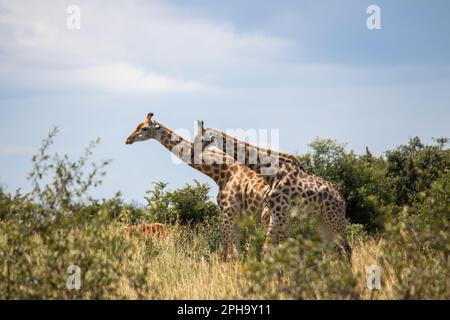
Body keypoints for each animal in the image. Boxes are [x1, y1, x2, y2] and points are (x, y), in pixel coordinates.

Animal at [124, 114, 270, 262]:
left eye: (144, 128)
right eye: (137, 125)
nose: (128, 139)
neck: (222, 172)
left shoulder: (228, 211)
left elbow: (225, 251)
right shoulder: (237, 216)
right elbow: (235, 251)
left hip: (266, 216)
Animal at [200, 125, 352, 260]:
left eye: (201, 138)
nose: (199, 153)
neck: (272, 170)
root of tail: (341, 198)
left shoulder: (280, 213)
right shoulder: (275, 214)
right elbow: (267, 249)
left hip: (333, 217)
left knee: (346, 248)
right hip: (321, 220)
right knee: (331, 248)